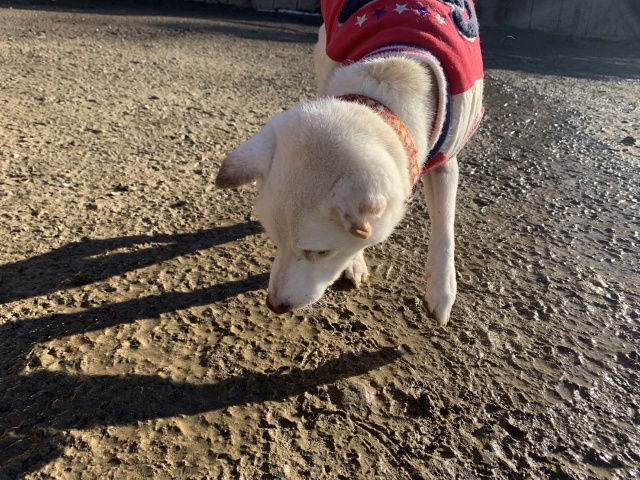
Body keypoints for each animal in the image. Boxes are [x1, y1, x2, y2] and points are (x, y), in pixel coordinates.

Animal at [215, 0, 484, 326]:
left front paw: (442, 292)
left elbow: (444, 225)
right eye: (274, 240)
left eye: (319, 252)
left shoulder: (447, 158)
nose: (274, 305)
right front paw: (355, 262)